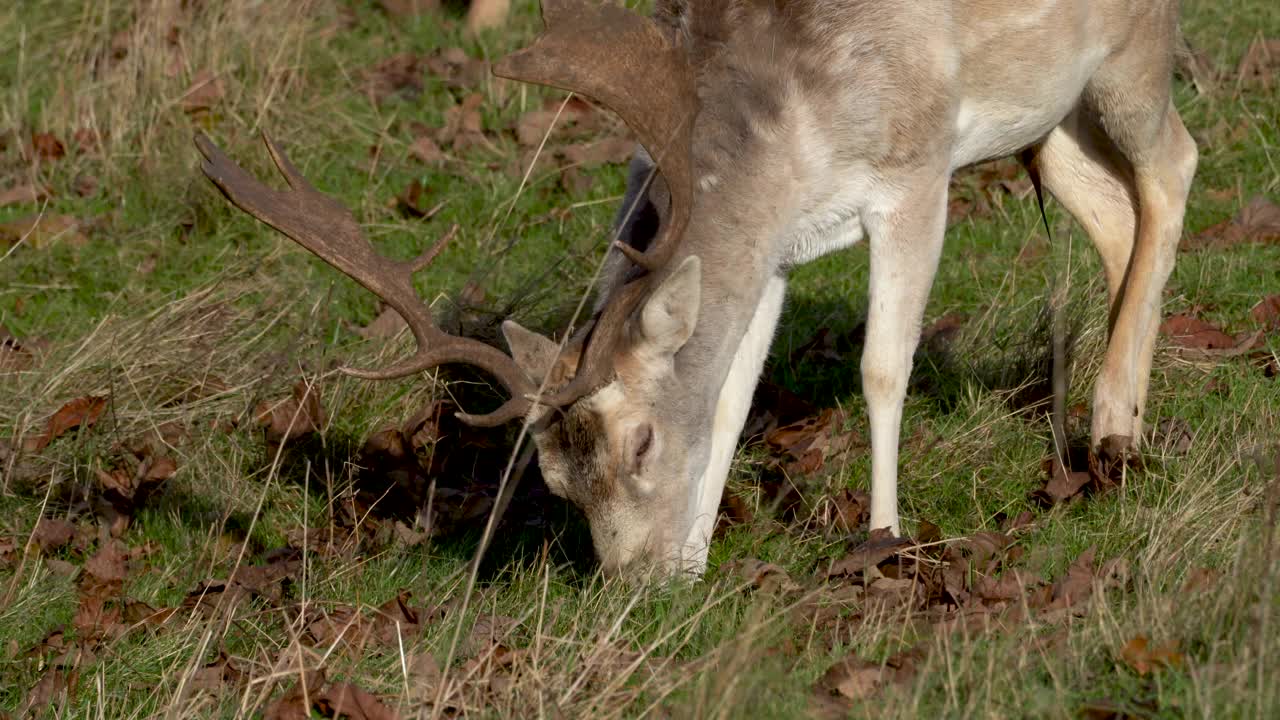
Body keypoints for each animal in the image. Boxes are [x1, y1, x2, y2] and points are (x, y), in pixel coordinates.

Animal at [192, 0, 1198, 571]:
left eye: (639, 443)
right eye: (551, 476)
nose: (633, 584)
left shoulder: (915, 169)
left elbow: (881, 367)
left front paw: (882, 538)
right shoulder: (779, 248)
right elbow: (726, 397)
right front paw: (701, 554)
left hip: (1130, 57)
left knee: (1174, 162)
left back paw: (1112, 424)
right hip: (1046, 117)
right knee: (1111, 205)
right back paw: (1121, 413)